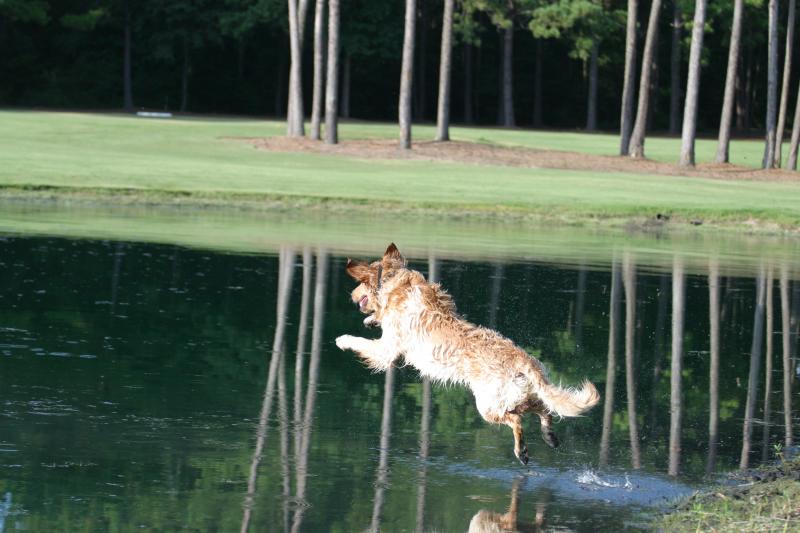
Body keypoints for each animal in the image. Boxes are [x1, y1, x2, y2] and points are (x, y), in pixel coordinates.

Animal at [332, 243, 600, 464]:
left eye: (359, 285)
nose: (352, 296)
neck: (395, 282)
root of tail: (524, 360)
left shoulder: (386, 350)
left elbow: (360, 341)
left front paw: (342, 339)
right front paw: (370, 321)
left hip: (488, 405)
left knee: (517, 420)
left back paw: (522, 451)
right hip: (517, 396)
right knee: (543, 408)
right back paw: (549, 437)